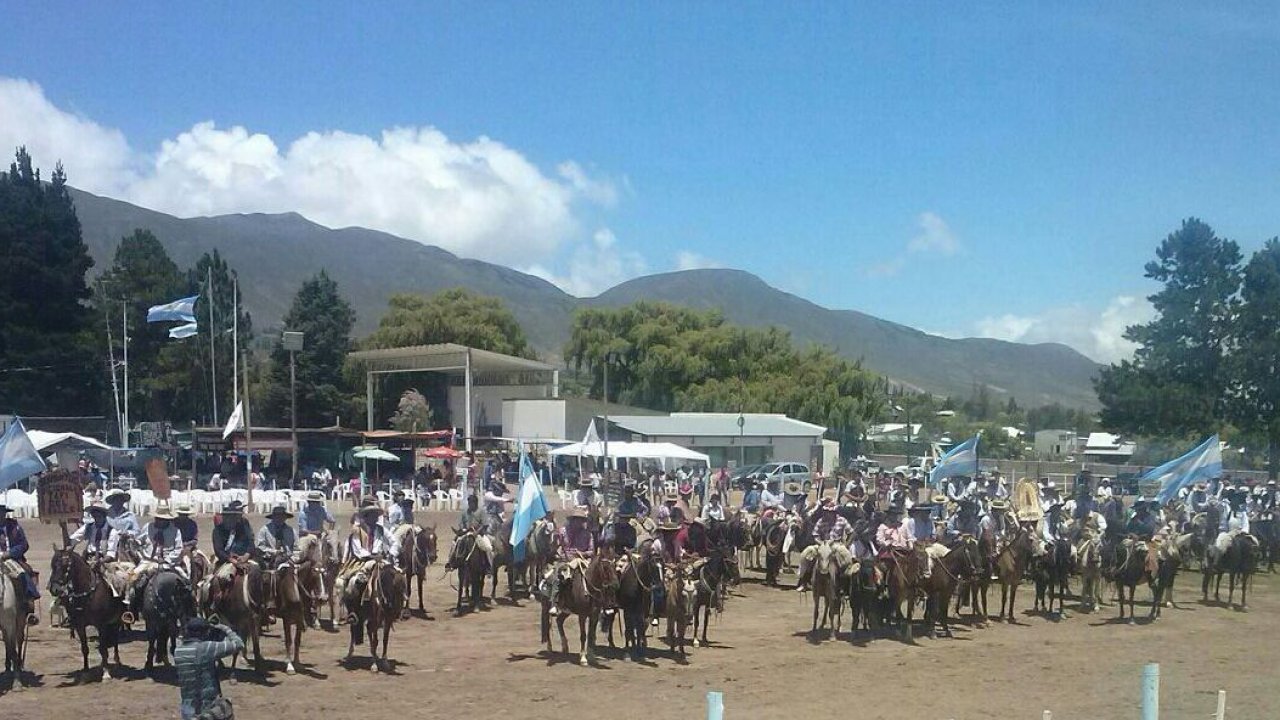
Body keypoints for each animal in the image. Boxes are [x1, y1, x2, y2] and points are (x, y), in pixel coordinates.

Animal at [47, 548, 124, 676]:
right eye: (52, 565)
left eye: (65, 565)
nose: (54, 589)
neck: (87, 593)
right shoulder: (80, 625)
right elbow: (84, 648)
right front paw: (86, 670)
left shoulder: (101, 625)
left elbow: (103, 648)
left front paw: (106, 672)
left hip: (116, 620)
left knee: (115, 639)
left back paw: (117, 662)